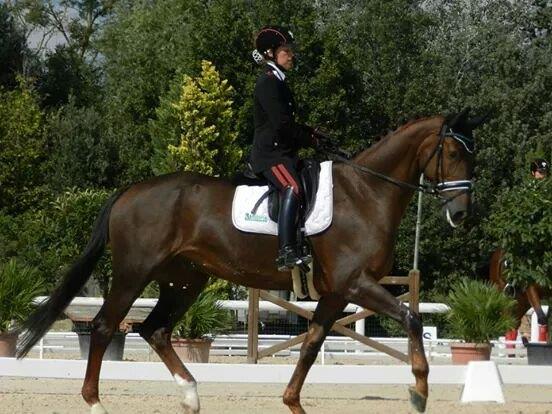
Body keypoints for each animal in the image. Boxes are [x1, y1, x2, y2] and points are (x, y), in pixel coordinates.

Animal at [16, 109, 484, 414]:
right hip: (134, 273)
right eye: (453, 155)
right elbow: (411, 318)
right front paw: (419, 392)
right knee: (104, 326)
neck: (366, 193)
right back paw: (96, 403)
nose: (462, 214)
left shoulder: (335, 294)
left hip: (185, 281)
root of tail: (130, 191)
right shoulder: (356, 283)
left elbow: (311, 345)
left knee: (156, 330)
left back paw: (190, 395)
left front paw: (292, 402)